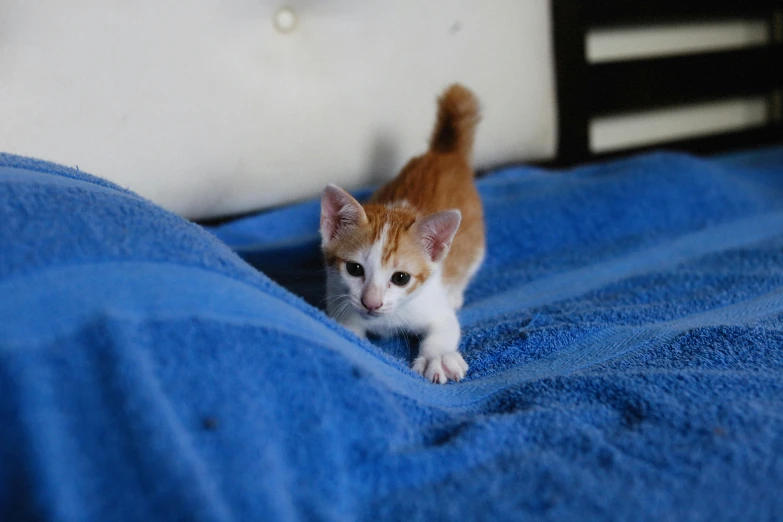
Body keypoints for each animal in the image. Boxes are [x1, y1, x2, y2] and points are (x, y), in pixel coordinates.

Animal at [318, 82, 484, 382]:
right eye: (354, 269)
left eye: (401, 278)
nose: (371, 303)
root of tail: (443, 154)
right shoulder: (338, 299)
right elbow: (349, 333)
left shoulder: (433, 304)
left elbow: (444, 328)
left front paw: (437, 357)